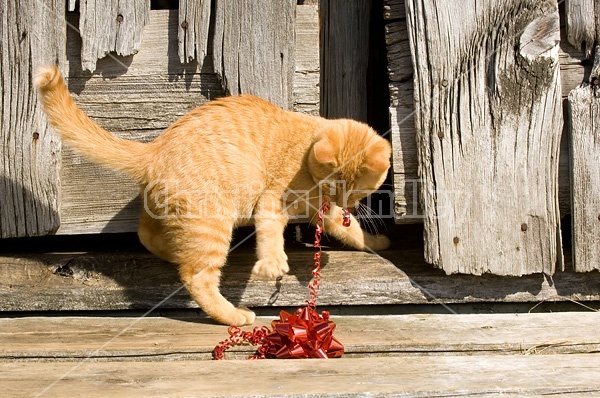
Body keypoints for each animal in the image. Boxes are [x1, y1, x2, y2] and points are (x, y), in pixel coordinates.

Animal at [34, 66, 390, 326]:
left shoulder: (326, 212)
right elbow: (271, 235)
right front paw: (272, 262)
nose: (345, 201)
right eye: (334, 185)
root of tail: (153, 149)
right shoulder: (272, 201)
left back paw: (173, 253)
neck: (305, 155)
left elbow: (352, 232)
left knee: (147, 234)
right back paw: (233, 315)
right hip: (212, 224)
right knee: (197, 278)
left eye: (357, 189)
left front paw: (376, 242)